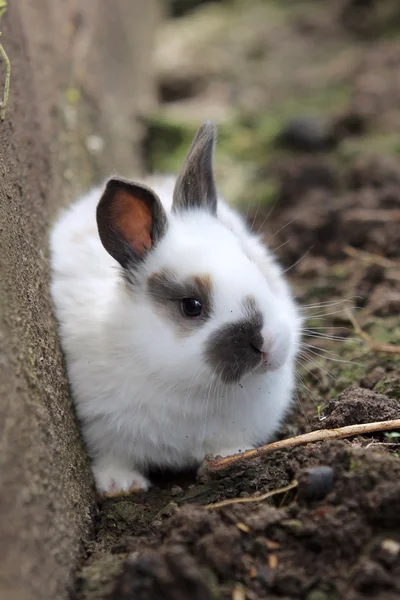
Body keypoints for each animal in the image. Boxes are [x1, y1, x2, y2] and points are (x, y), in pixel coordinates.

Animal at [49, 120, 300, 496]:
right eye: (191, 306)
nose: (267, 343)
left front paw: (234, 457)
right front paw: (121, 485)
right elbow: (112, 455)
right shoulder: (99, 423)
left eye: (254, 266)